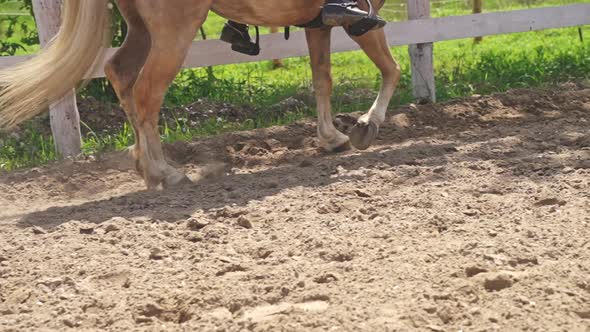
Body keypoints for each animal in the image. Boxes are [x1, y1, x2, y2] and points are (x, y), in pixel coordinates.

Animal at [0, 0, 402, 188]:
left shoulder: (318, 23)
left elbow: (322, 79)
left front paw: (332, 137)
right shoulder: (362, 18)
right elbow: (391, 69)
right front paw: (366, 126)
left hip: (144, 30)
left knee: (121, 74)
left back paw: (146, 168)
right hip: (173, 34)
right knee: (145, 94)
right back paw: (166, 172)